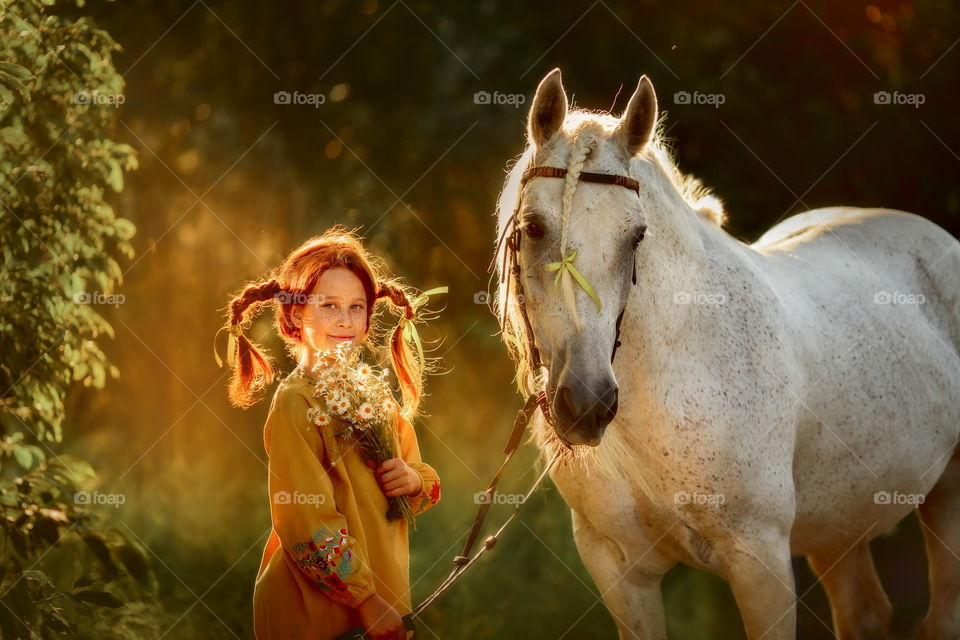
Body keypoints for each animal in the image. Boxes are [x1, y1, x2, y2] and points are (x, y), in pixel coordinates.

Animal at [496, 67, 960, 636]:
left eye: (637, 235)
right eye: (533, 227)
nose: (586, 404)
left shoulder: (760, 563)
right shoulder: (618, 569)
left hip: (947, 498)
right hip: (839, 524)